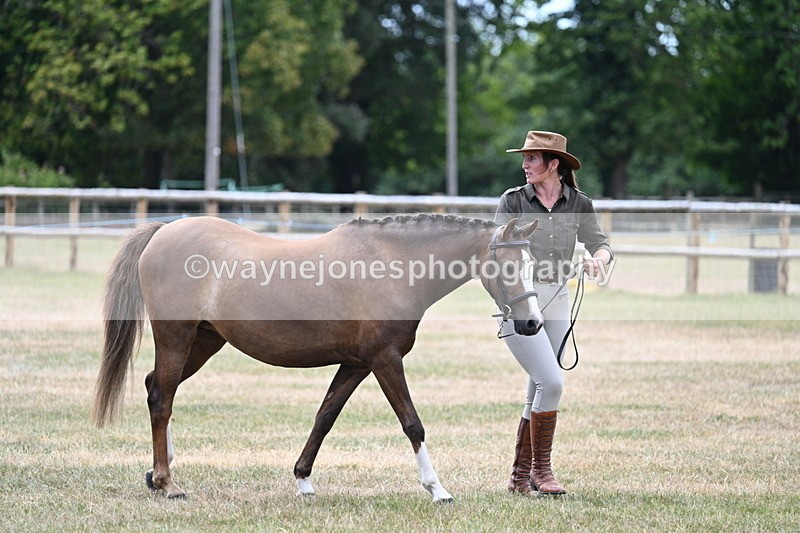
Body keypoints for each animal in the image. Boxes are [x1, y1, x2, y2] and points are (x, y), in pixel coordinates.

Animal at [91, 213, 542, 502]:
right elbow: (412, 424)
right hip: (176, 337)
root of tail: (164, 231)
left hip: (204, 341)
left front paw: (303, 480)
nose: (533, 323)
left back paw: (158, 473)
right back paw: (168, 483)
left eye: (533, 264)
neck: (391, 263)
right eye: (507, 266)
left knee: (156, 387)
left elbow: (325, 417)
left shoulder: (357, 364)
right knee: (161, 399)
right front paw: (437, 489)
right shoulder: (385, 360)